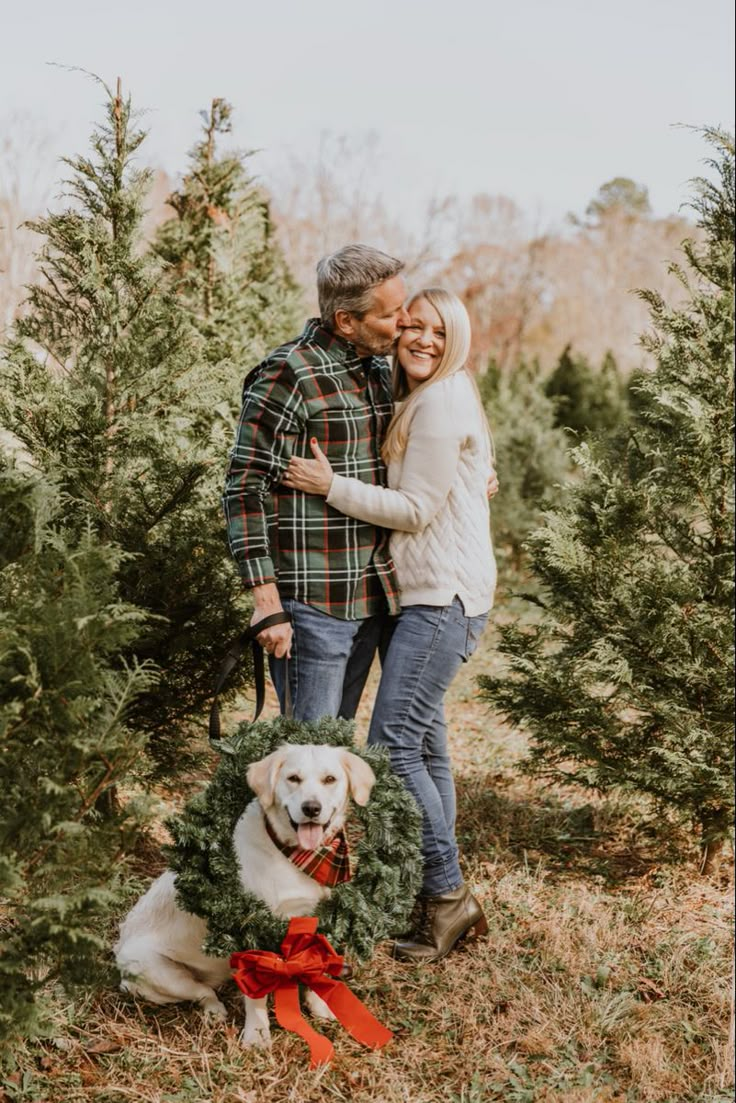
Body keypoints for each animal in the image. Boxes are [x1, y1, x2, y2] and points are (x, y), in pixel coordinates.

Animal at [118, 745, 379, 1045]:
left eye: (329, 779)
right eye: (293, 778)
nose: (311, 808)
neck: (294, 856)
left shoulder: (319, 916)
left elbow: (316, 969)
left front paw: (321, 1006)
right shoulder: (250, 926)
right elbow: (255, 996)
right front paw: (257, 1035)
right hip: (159, 972)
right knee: (204, 992)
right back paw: (214, 1012)